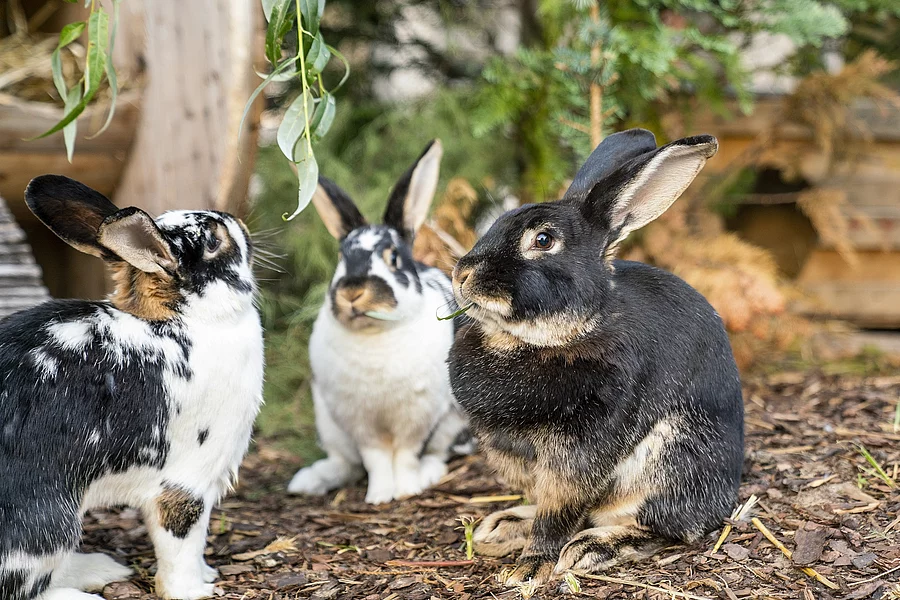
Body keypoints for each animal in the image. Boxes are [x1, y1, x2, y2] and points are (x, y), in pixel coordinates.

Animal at [0, 176, 264, 600]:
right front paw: (193, 590)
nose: (236, 220)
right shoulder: (184, 483)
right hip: (46, 527)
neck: (185, 321)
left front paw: (206, 576)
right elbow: (181, 541)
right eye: (211, 240)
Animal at [287, 140, 471, 505]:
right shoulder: (359, 422)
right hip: (329, 425)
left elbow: (406, 454)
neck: (376, 334)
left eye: (394, 258)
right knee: (347, 464)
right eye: (341, 258)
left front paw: (406, 490)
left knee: (439, 453)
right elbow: (376, 460)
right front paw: (379, 496)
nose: (353, 293)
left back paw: (428, 475)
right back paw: (307, 481)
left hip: (454, 421)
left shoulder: (418, 416)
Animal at [447, 129, 744, 586]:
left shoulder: (579, 451)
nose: (463, 274)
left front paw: (530, 568)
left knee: (664, 529)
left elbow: (559, 510)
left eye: (543, 240)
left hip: (670, 463)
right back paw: (501, 527)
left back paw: (591, 549)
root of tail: (727, 492)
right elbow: (547, 502)